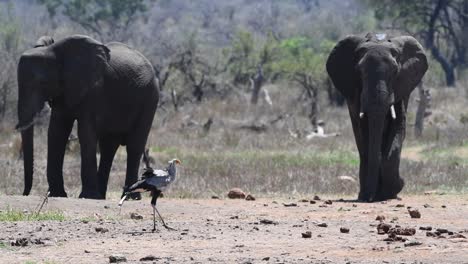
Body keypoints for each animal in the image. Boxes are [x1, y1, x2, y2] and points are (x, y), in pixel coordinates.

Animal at [16, 35, 159, 200]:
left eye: (43, 82)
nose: (25, 193)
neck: (56, 52)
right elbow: (56, 132)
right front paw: (58, 195)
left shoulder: (93, 91)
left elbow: (85, 133)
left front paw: (87, 196)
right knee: (108, 148)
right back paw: (101, 196)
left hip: (150, 99)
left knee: (134, 146)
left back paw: (130, 197)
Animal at [326, 33, 428, 202]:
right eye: (359, 71)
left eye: (395, 72)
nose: (403, 181)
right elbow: (364, 131)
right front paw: (380, 192)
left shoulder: (402, 89)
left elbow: (398, 127)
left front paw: (391, 191)